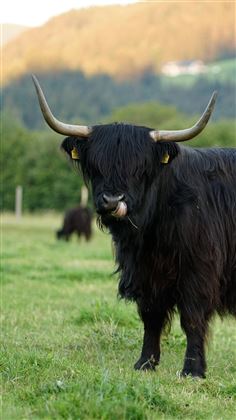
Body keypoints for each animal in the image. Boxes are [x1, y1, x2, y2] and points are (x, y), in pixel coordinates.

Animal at [32, 76, 235, 380]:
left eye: (140, 168)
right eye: (96, 165)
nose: (112, 200)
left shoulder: (198, 268)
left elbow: (192, 317)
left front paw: (193, 370)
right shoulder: (144, 272)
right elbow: (150, 316)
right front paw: (145, 363)